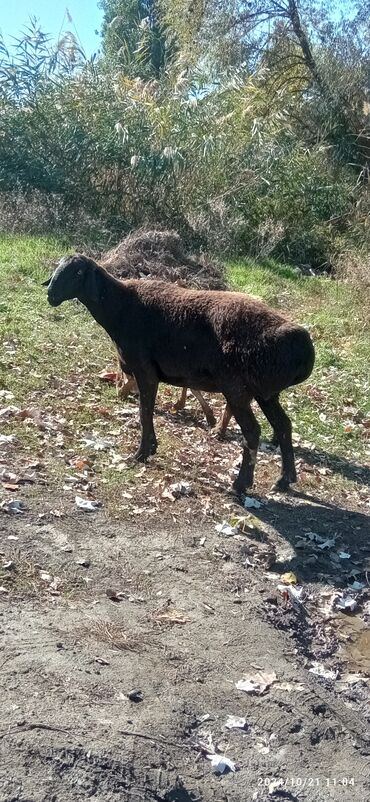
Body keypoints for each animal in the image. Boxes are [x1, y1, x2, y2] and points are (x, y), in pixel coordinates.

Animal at [43, 256, 316, 494]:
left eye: (78, 273)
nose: (50, 295)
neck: (119, 308)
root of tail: (303, 346)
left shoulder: (145, 371)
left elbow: (144, 412)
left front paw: (141, 453)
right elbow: (148, 411)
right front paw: (151, 447)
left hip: (237, 388)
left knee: (253, 432)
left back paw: (241, 484)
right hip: (266, 392)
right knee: (283, 426)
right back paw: (285, 480)